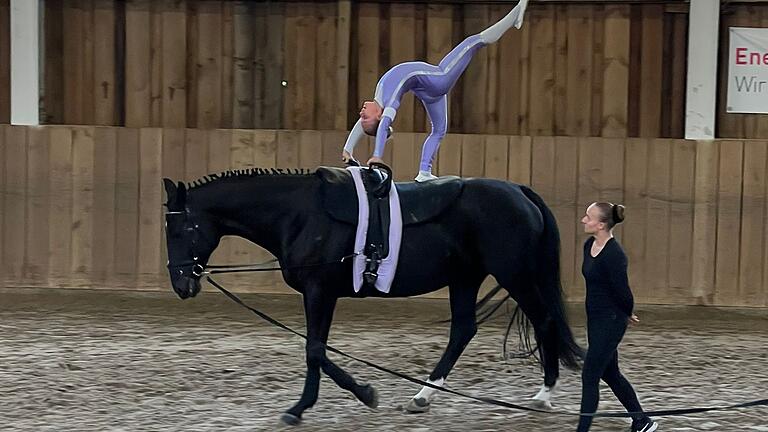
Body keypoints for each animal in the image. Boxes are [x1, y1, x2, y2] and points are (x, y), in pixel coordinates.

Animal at [162, 166, 584, 426]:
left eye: (182, 229)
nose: (182, 286)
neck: (299, 214)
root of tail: (519, 192)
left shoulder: (320, 291)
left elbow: (314, 350)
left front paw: (355, 396)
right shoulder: (321, 294)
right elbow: (316, 349)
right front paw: (316, 404)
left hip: (515, 275)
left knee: (544, 320)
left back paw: (544, 394)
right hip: (465, 277)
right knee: (463, 330)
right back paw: (422, 397)